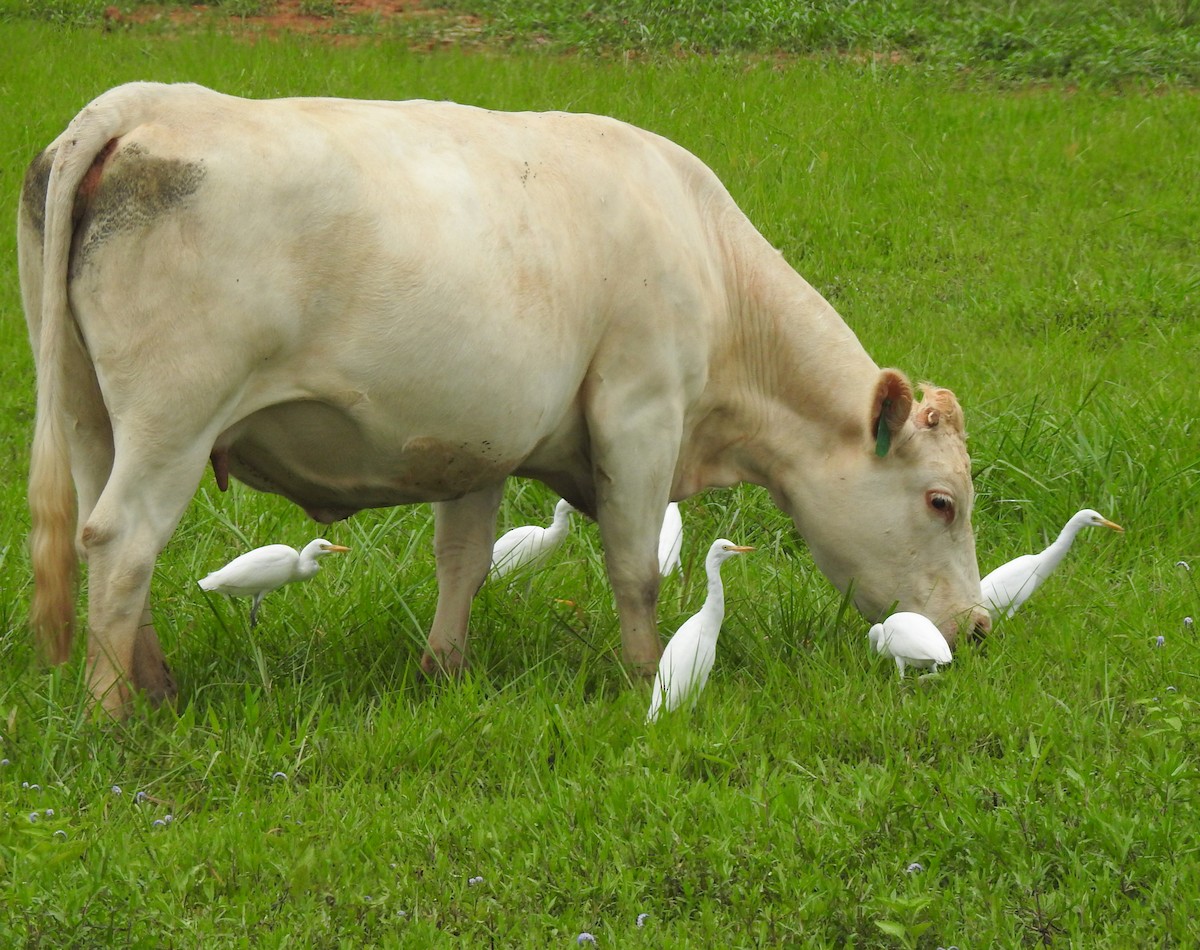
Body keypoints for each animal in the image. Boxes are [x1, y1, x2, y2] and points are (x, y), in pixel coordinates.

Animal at [19, 82, 990, 717]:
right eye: (941, 501)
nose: (978, 629)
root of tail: (141, 103)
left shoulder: (479, 437)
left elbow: (464, 560)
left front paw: (442, 672)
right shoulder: (639, 410)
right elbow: (635, 567)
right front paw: (643, 676)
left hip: (88, 415)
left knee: (103, 540)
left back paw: (157, 685)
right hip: (173, 422)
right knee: (124, 543)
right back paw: (117, 714)